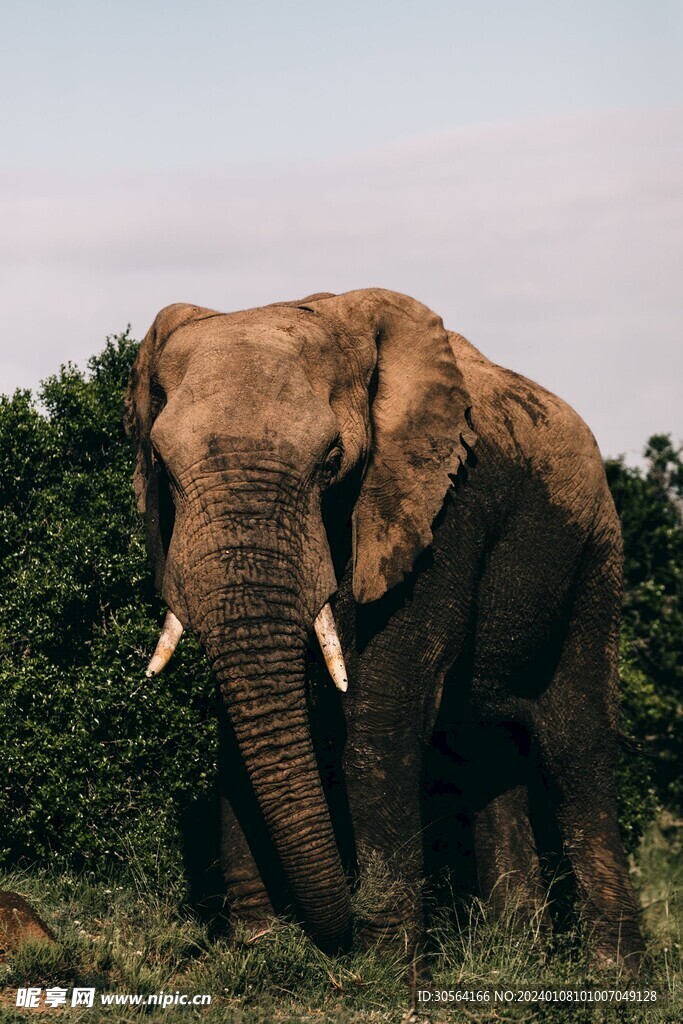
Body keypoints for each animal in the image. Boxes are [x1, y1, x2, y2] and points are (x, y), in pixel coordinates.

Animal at [125, 288, 643, 972]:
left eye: (331, 461)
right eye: (161, 464)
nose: (322, 940)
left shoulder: (446, 504)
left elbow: (380, 712)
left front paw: (382, 972)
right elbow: (241, 719)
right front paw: (260, 952)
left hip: (596, 556)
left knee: (576, 752)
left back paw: (616, 975)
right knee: (485, 752)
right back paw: (517, 956)